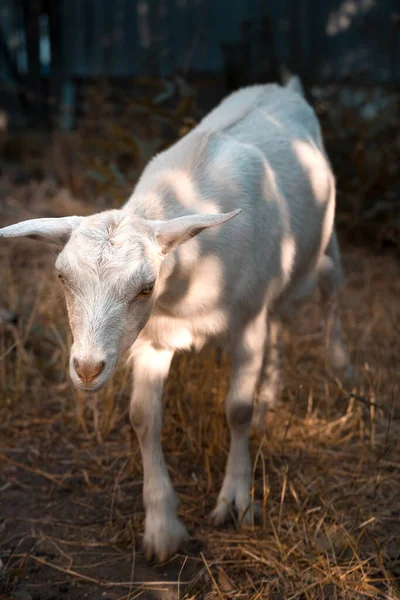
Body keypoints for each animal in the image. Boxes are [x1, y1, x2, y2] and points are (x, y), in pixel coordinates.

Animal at [0, 78, 350, 564]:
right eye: (61, 277)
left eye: (146, 286)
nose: (87, 369)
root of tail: (283, 86)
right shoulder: (153, 339)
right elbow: (143, 417)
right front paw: (163, 527)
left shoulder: (247, 323)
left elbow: (236, 409)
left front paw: (236, 502)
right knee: (282, 317)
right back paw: (271, 395)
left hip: (324, 241)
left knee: (332, 287)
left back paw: (340, 369)